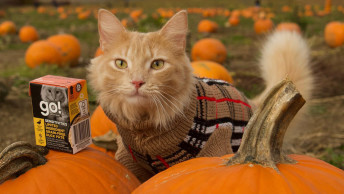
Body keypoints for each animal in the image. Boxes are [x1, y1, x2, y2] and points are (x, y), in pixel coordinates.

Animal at [88, 9, 314, 182]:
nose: (137, 82)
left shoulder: (216, 149)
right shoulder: (129, 160)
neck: (145, 127)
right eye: (121, 63)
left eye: (157, 64)